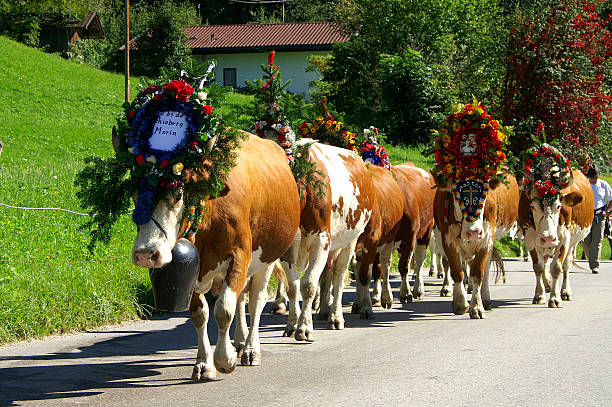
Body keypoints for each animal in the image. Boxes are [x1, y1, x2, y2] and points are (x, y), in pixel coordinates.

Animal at [127, 135, 302, 382]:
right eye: (134, 194)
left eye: (178, 194)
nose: (145, 253)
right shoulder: (194, 273)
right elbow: (200, 314)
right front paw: (204, 363)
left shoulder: (240, 256)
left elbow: (224, 309)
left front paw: (224, 359)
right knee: (242, 299)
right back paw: (239, 340)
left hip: (267, 258)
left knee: (256, 301)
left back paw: (251, 349)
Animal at [280, 140, 372, 342]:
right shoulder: (286, 251)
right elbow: (293, 287)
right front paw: (292, 324)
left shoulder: (321, 240)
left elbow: (308, 285)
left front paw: (304, 328)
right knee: (328, 274)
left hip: (350, 240)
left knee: (338, 275)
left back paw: (336, 317)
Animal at [432, 175, 520, 318]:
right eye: (456, 197)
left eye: (485, 195)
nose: (474, 232)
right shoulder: (447, 240)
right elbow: (457, 272)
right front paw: (460, 304)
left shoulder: (486, 240)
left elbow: (478, 273)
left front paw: (477, 307)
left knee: (485, 267)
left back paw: (485, 298)